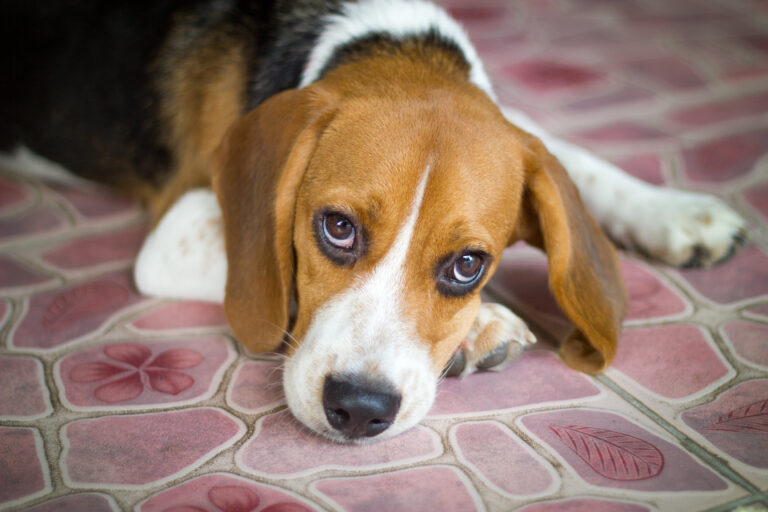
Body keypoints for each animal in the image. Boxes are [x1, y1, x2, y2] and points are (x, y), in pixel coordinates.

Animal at [0, 0, 744, 442]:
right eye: (336, 227)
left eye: (468, 265)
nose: (359, 409)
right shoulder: (176, 233)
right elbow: (275, 268)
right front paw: (482, 326)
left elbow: (569, 158)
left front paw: (673, 209)